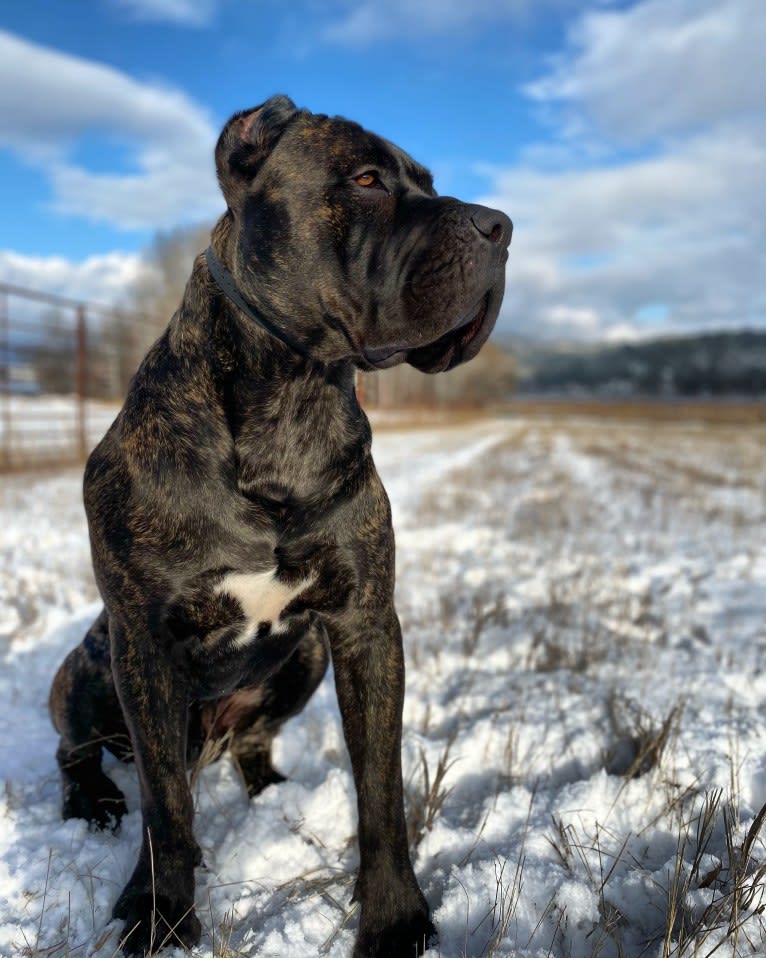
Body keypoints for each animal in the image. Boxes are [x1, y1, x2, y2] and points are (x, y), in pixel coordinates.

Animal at [51, 92, 512, 958]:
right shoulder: (143, 642)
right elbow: (166, 808)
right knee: (79, 752)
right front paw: (160, 912)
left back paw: (268, 790)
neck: (294, 391)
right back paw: (92, 803)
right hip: (86, 667)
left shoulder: (365, 625)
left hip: (304, 657)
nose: (500, 225)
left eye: (430, 182)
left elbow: (381, 789)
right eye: (365, 179)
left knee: (251, 741)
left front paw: (393, 916)